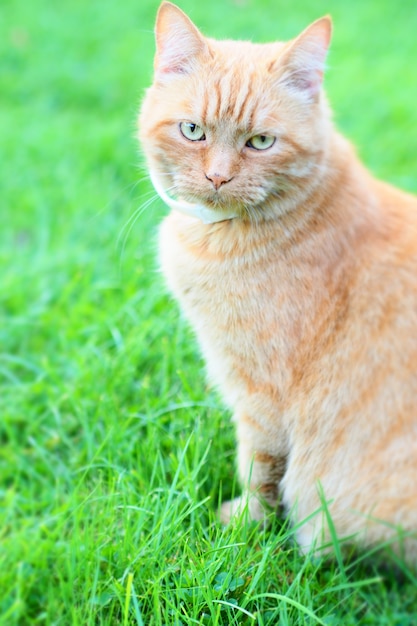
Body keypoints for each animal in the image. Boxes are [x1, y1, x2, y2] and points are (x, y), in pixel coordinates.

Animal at [139, 1, 416, 560]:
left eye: (261, 141)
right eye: (192, 131)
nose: (218, 177)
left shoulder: (261, 395)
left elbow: (260, 467)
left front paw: (245, 524)